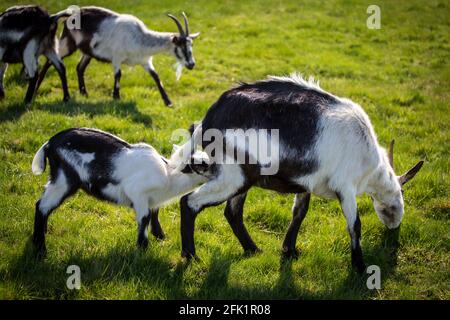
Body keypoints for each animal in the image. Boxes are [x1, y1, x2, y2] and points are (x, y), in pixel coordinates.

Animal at [30, 127, 210, 255]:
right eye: (204, 165)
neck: (169, 175)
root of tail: (50, 143)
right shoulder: (138, 193)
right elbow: (144, 218)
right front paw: (142, 249)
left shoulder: (152, 200)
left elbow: (154, 214)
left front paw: (160, 237)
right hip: (64, 179)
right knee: (42, 206)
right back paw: (40, 250)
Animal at [36, 6, 201, 106]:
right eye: (181, 46)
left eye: (191, 45)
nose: (191, 64)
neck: (140, 37)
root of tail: (70, 14)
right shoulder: (116, 57)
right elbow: (118, 74)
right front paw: (116, 97)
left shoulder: (145, 61)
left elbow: (156, 76)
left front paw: (168, 102)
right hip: (67, 43)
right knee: (52, 61)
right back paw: (54, 93)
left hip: (88, 51)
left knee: (79, 68)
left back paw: (84, 93)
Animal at [171, 73, 424, 272]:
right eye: (401, 194)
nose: (395, 225)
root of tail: (207, 119)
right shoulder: (346, 187)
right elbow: (355, 225)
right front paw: (360, 268)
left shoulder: (307, 182)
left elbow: (299, 213)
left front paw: (289, 251)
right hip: (234, 177)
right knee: (190, 202)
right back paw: (191, 256)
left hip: (240, 179)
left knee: (232, 212)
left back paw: (253, 249)